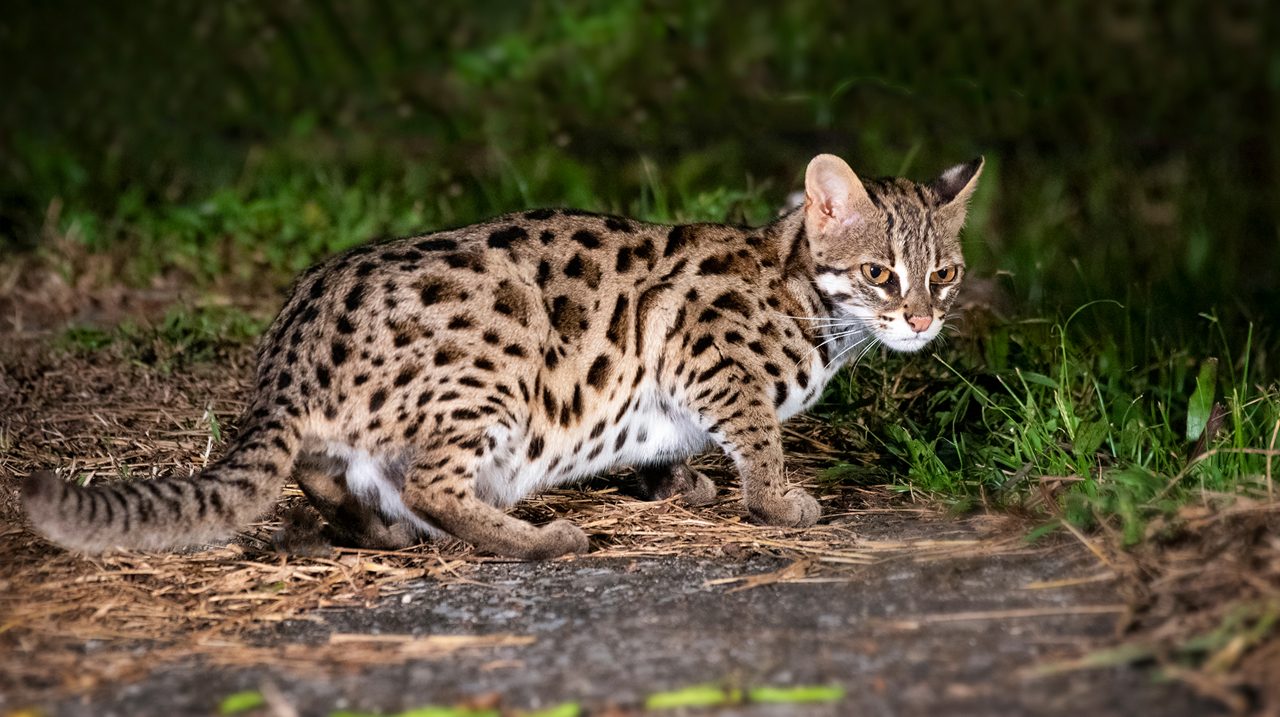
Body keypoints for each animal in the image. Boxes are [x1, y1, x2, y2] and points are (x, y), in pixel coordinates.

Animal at [17, 154, 977, 560]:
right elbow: (756, 430)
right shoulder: (700, 349)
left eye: (946, 272)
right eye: (880, 273)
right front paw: (776, 499)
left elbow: (680, 443)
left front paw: (676, 480)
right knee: (430, 483)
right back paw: (540, 538)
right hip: (496, 367)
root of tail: (290, 349)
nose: (924, 320)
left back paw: (376, 525)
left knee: (331, 473)